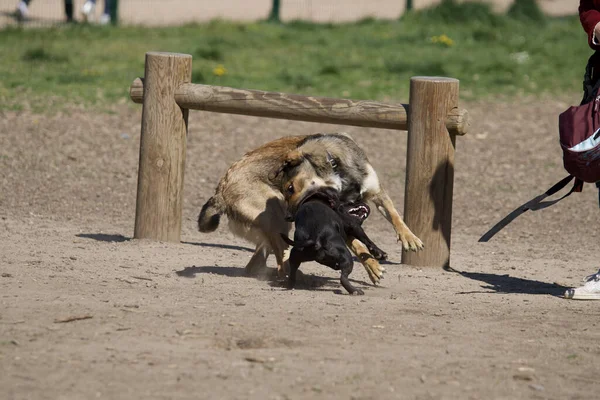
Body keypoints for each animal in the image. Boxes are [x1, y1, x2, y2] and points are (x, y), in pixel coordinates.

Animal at [199, 133, 424, 282]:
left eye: (290, 188)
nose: (291, 216)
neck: (337, 171)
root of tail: (221, 189)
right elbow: (358, 244)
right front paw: (373, 266)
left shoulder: (375, 192)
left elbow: (394, 215)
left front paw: (409, 238)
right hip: (274, 218)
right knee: (281, 260)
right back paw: (290, 274)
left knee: (257, 263)